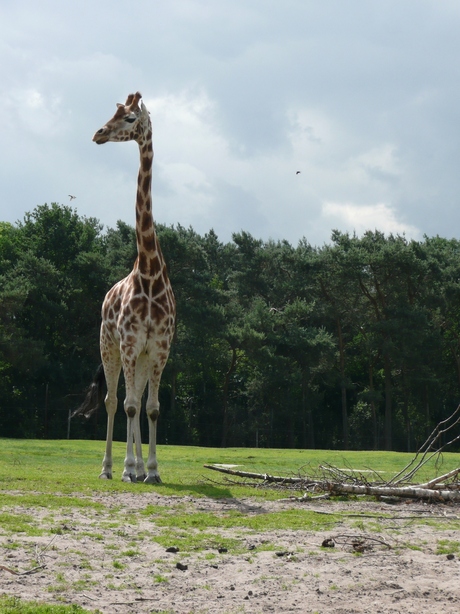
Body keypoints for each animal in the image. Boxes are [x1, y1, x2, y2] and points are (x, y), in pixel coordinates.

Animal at [75, 91, 176, 486]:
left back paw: (135, 466)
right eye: (114, 113)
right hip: (109, 346)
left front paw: (153, 470)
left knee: (136, 401)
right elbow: (129, 405)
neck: (149, 272)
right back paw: (110, 467)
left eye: (131, 118)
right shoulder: (130, 343)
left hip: (141, 357)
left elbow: (152, 408)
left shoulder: (159, 348)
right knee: (114, 401)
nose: (98, 133)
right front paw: (129, 468)